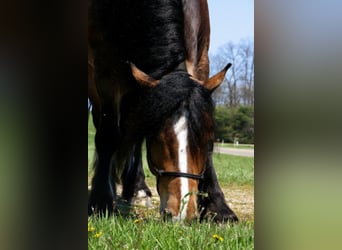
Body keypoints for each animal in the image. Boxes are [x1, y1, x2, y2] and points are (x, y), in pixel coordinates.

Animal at [88, 0, 238, 223]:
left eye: (208, 137)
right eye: (157, 137)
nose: (181, 212)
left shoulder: (201, 59)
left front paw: (219, 209)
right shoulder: (103, 70)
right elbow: (108, 136)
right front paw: (101, 202)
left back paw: (137, 190)